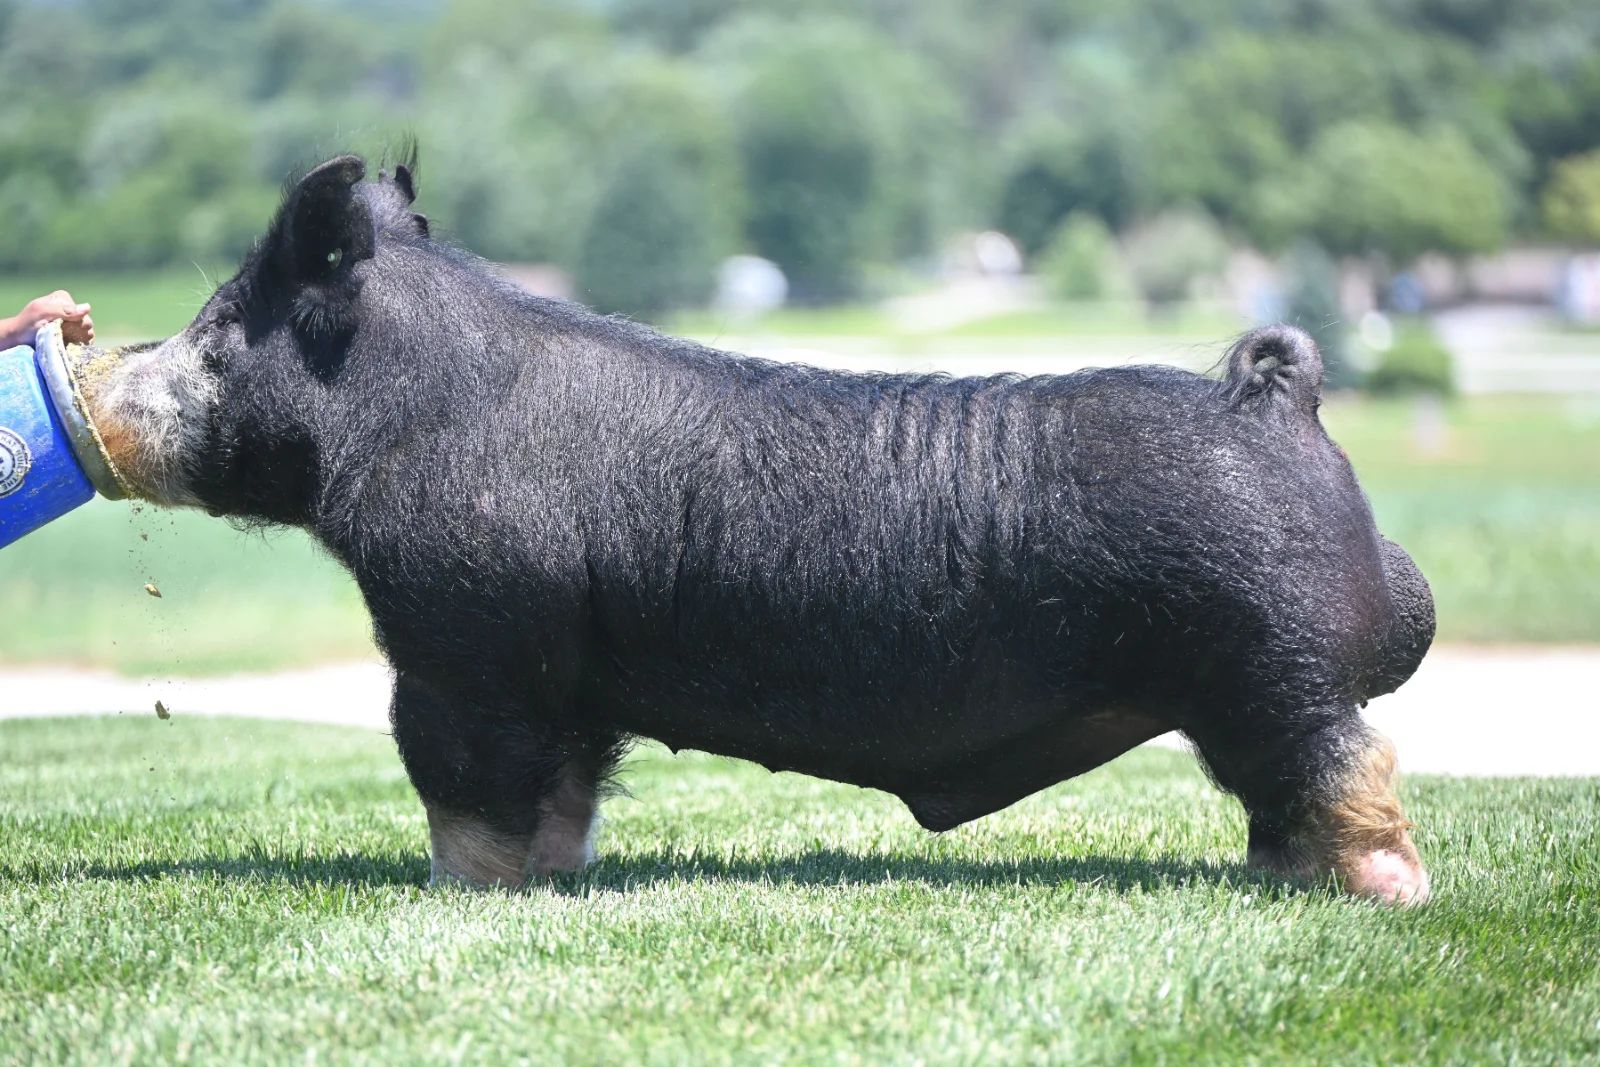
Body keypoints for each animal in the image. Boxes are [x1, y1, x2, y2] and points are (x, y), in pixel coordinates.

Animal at [77, 155, 1434, 903]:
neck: (409, 413)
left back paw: (1384, 895)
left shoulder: (462, 646)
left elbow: (462, 782)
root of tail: (1275, 399)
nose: (109, 372)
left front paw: (452, 894)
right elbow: (565, 791)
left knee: (1352, 762)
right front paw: (554, 879)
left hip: (1269, 661)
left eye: (217, 334)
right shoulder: (567, 680)